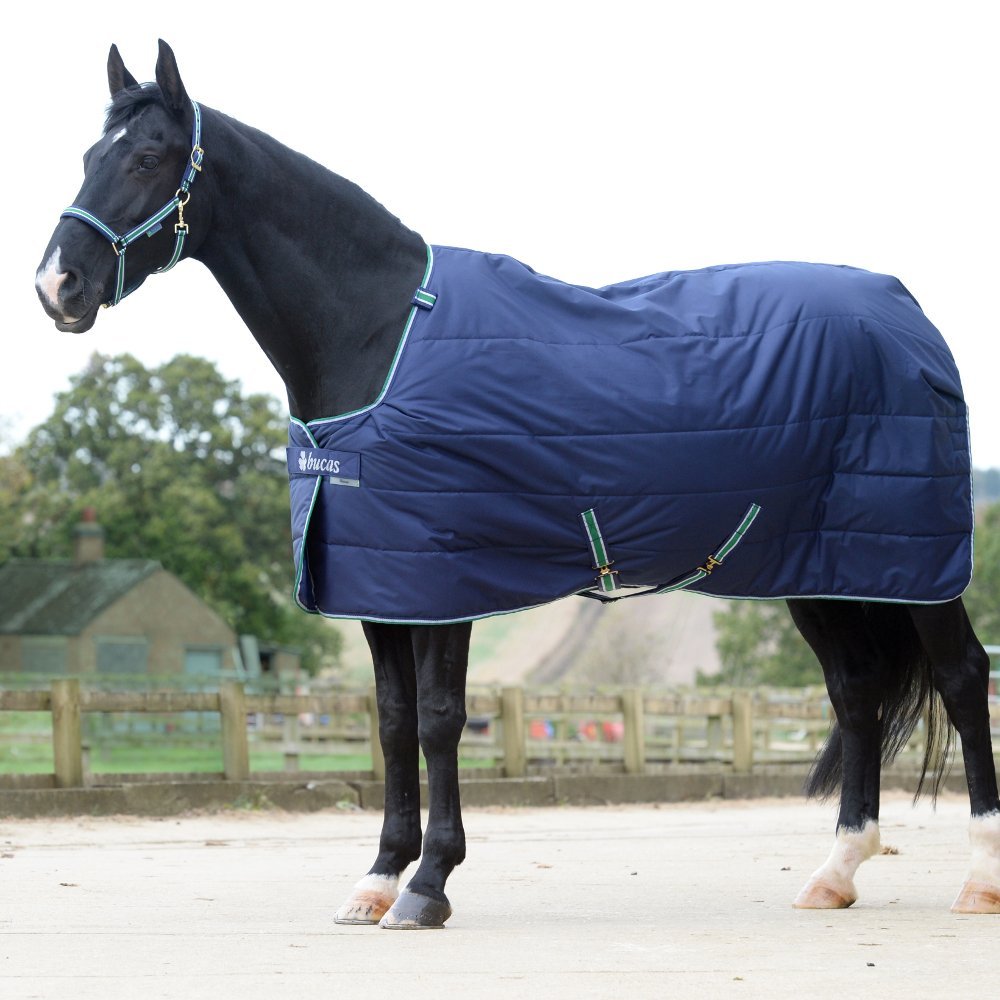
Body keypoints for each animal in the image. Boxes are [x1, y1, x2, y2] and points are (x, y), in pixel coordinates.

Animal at [36, 40, 999, 929]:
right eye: (88, 155)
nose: (57, 286)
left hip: (915, 566)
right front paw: (376, 881)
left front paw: (428, 886)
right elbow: (390, 722)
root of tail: (908, 312)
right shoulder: (378, 584)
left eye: (148, 157)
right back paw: (834, 873)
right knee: (858, 694)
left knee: (961, 676)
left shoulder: (444, 580)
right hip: (829, 568)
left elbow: (438, 719)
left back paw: (979, 878)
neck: (379, 331)